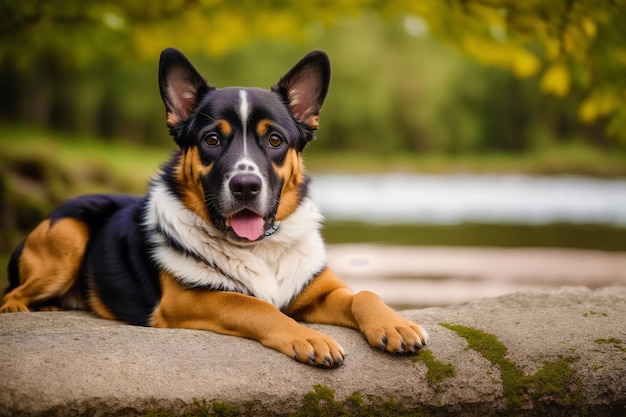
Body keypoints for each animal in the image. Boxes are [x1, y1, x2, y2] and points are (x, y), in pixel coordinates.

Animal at [0, 48, 426, 366]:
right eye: (211, 140)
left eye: (274, 140)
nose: (246, 186)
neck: (259, 248)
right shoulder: (191, 299)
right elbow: (257, 307)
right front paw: (308, 338)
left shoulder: (318, 292)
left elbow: (364, 294)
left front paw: (395, 325)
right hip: (68, 234)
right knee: (10, 295)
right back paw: (29, 308)